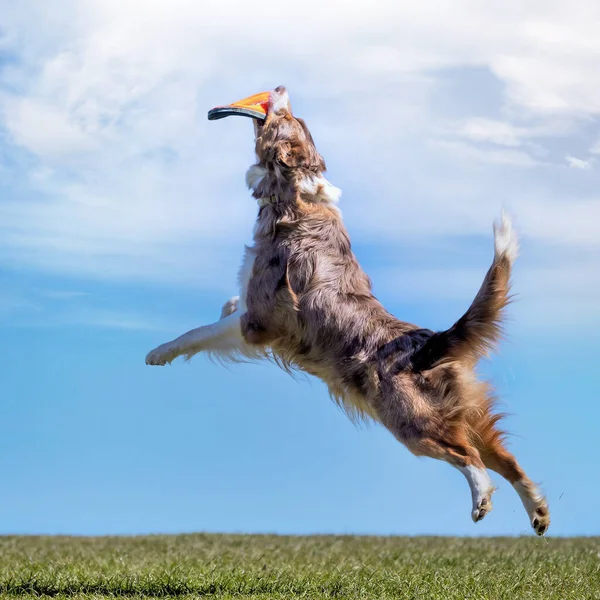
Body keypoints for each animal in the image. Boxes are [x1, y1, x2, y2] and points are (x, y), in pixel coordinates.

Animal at [145, 84, 548, 536]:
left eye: (287, 119)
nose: (280, 87)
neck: (295, 194)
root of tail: (430, 344)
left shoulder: (259, 321)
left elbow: (198, 332)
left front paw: (160, 352)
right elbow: (226, 306)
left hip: (411, 421)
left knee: (469, 457)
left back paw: (481, 501)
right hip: (467, 415)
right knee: (509, 461)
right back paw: (538, 513)